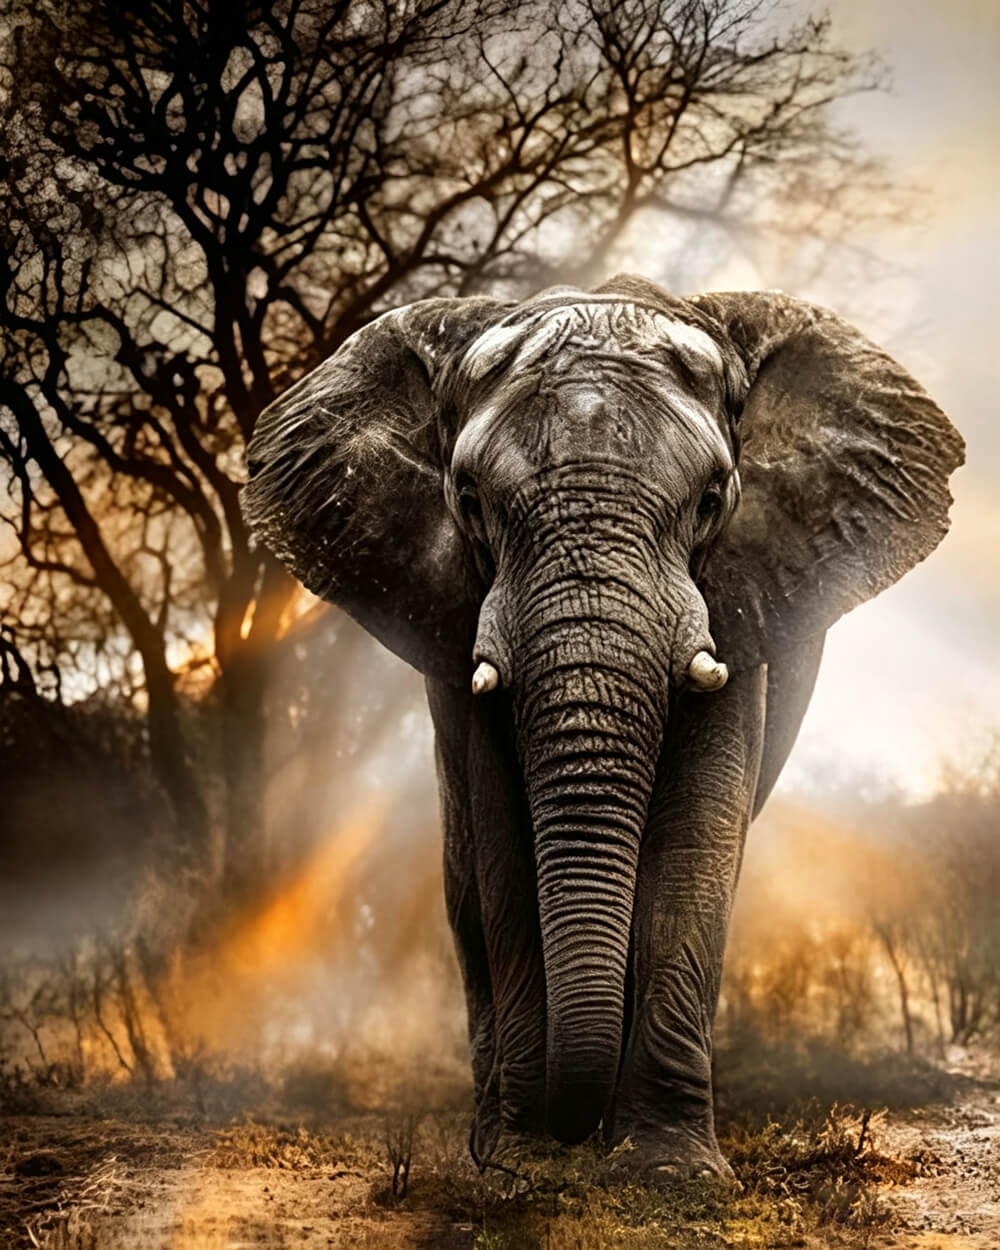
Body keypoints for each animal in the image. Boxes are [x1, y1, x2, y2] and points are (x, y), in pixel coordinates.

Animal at [241, 274, 963, 1181]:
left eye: (711, 501)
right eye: (469, 502)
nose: (563, 1135)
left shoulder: (739, 596)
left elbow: (696, 836)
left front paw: (670, 1175)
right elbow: (504, 842)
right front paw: (521, 1165)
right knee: (464, 886)